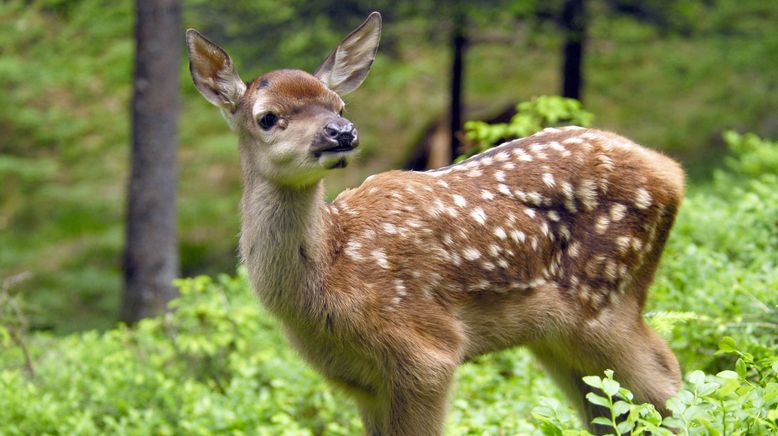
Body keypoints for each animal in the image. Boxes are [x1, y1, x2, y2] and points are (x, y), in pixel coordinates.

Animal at [185, 11, 684, 434]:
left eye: (339, 106)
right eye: (267, 117)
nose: (341, 133)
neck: (332, 273)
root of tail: (671, 172)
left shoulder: (426, 351)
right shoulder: (361, 383)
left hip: (605, 297)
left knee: (666, 379)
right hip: (559, 335)